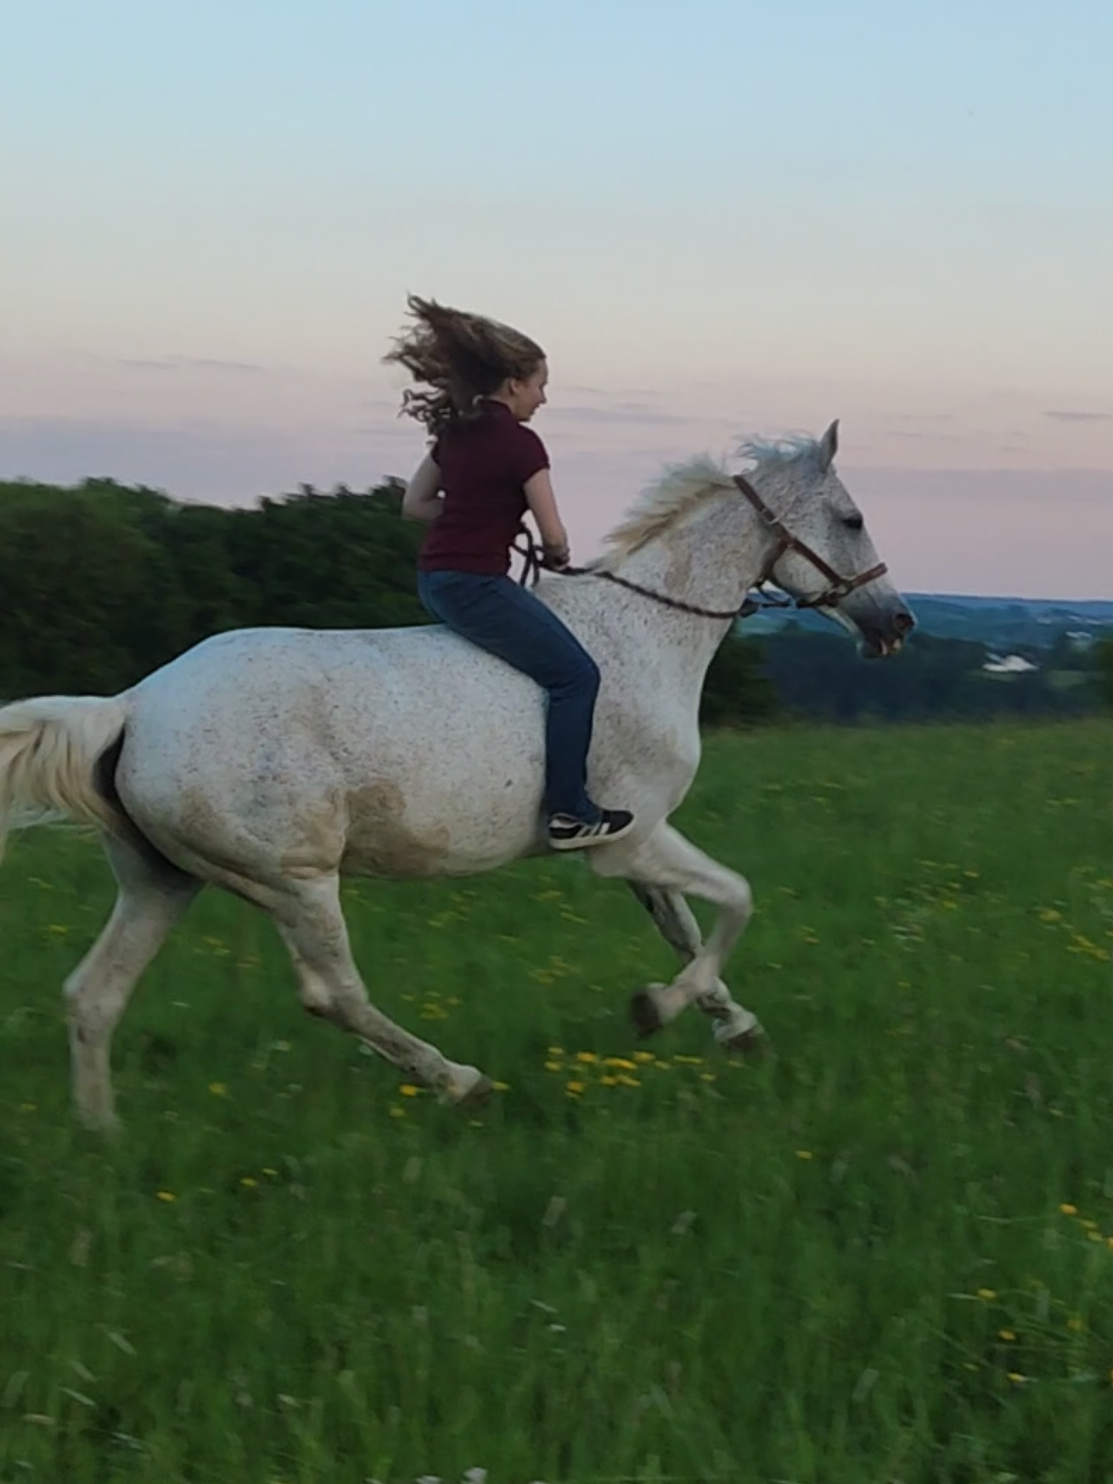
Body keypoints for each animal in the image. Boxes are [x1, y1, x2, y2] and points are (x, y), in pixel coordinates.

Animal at [0, 419, 914, 1130]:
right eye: (851, 516)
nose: (896, 622)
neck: (646, 636)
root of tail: (133, 705)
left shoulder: (639, 844)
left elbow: (688, 928)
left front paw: (735, 1027)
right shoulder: (627, 843)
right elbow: (734, 903)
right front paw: (657, 1009)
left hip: (163, 881)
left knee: (93, 995)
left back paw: (103, 1136)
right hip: (294, 879)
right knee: (332, 994)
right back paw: (459, 1082)